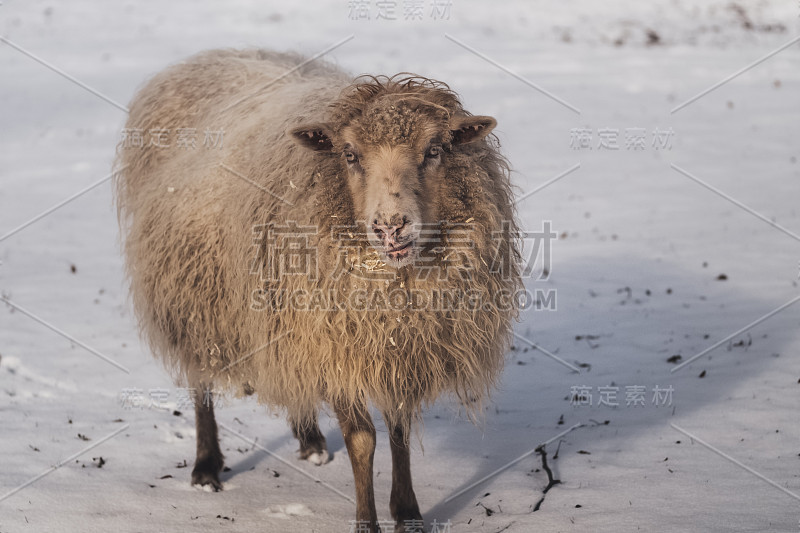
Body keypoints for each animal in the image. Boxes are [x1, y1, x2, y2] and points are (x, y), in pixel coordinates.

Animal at [115, 47, 520, 528]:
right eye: (349, 155)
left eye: (434, 150)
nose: (391, 227)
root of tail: (208, 55)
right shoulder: (334, 341)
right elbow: (362, 439)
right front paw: (367, 522)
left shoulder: (399, 347)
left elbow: (399, 428)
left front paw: (407, 512)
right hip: (193, 294)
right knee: (201, 383)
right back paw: (206, 465)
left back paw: (309, 440)